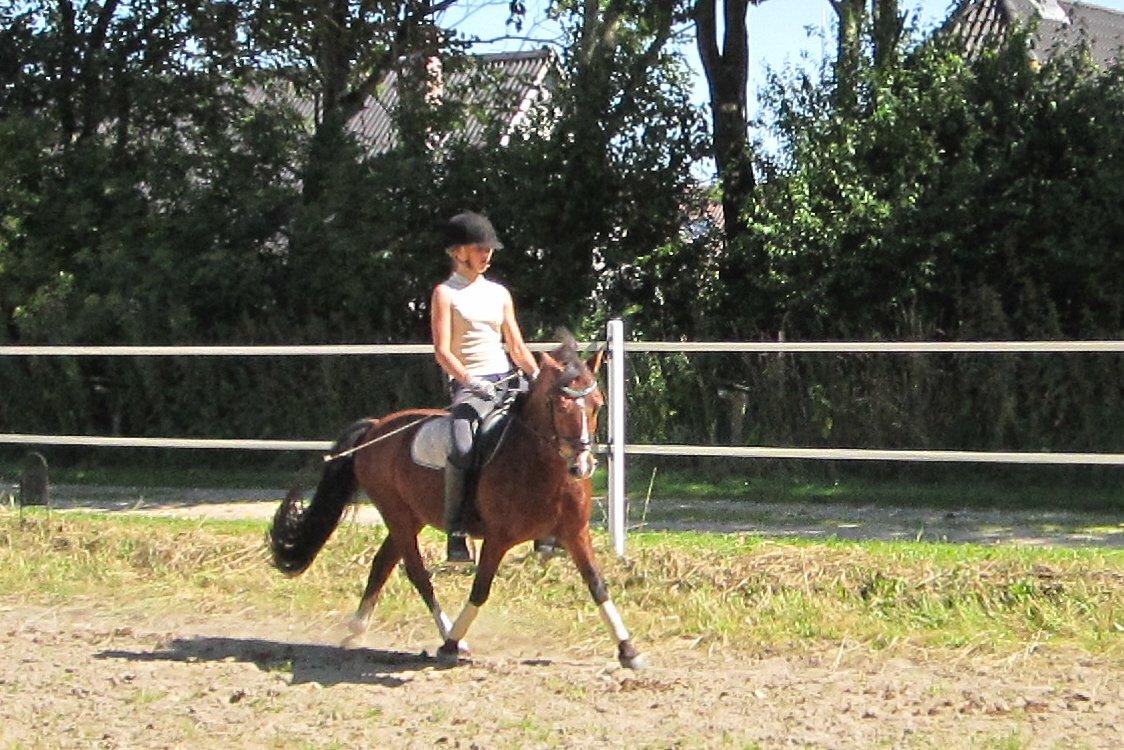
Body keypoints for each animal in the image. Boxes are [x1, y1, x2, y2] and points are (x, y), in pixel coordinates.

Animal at [266, 335, 647, 670]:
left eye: (598, 404)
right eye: (557, 405)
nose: (581, 466)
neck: (541, 466)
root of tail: (376, 427)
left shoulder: (575, 533)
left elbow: (597, 585)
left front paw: (628, 650)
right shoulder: (498, 538)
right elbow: (480, 589)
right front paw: (449, 647)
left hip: (411, 517)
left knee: (383, 563)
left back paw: (357, 630)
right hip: (397, 514)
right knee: (416, 573)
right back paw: (449, 635)